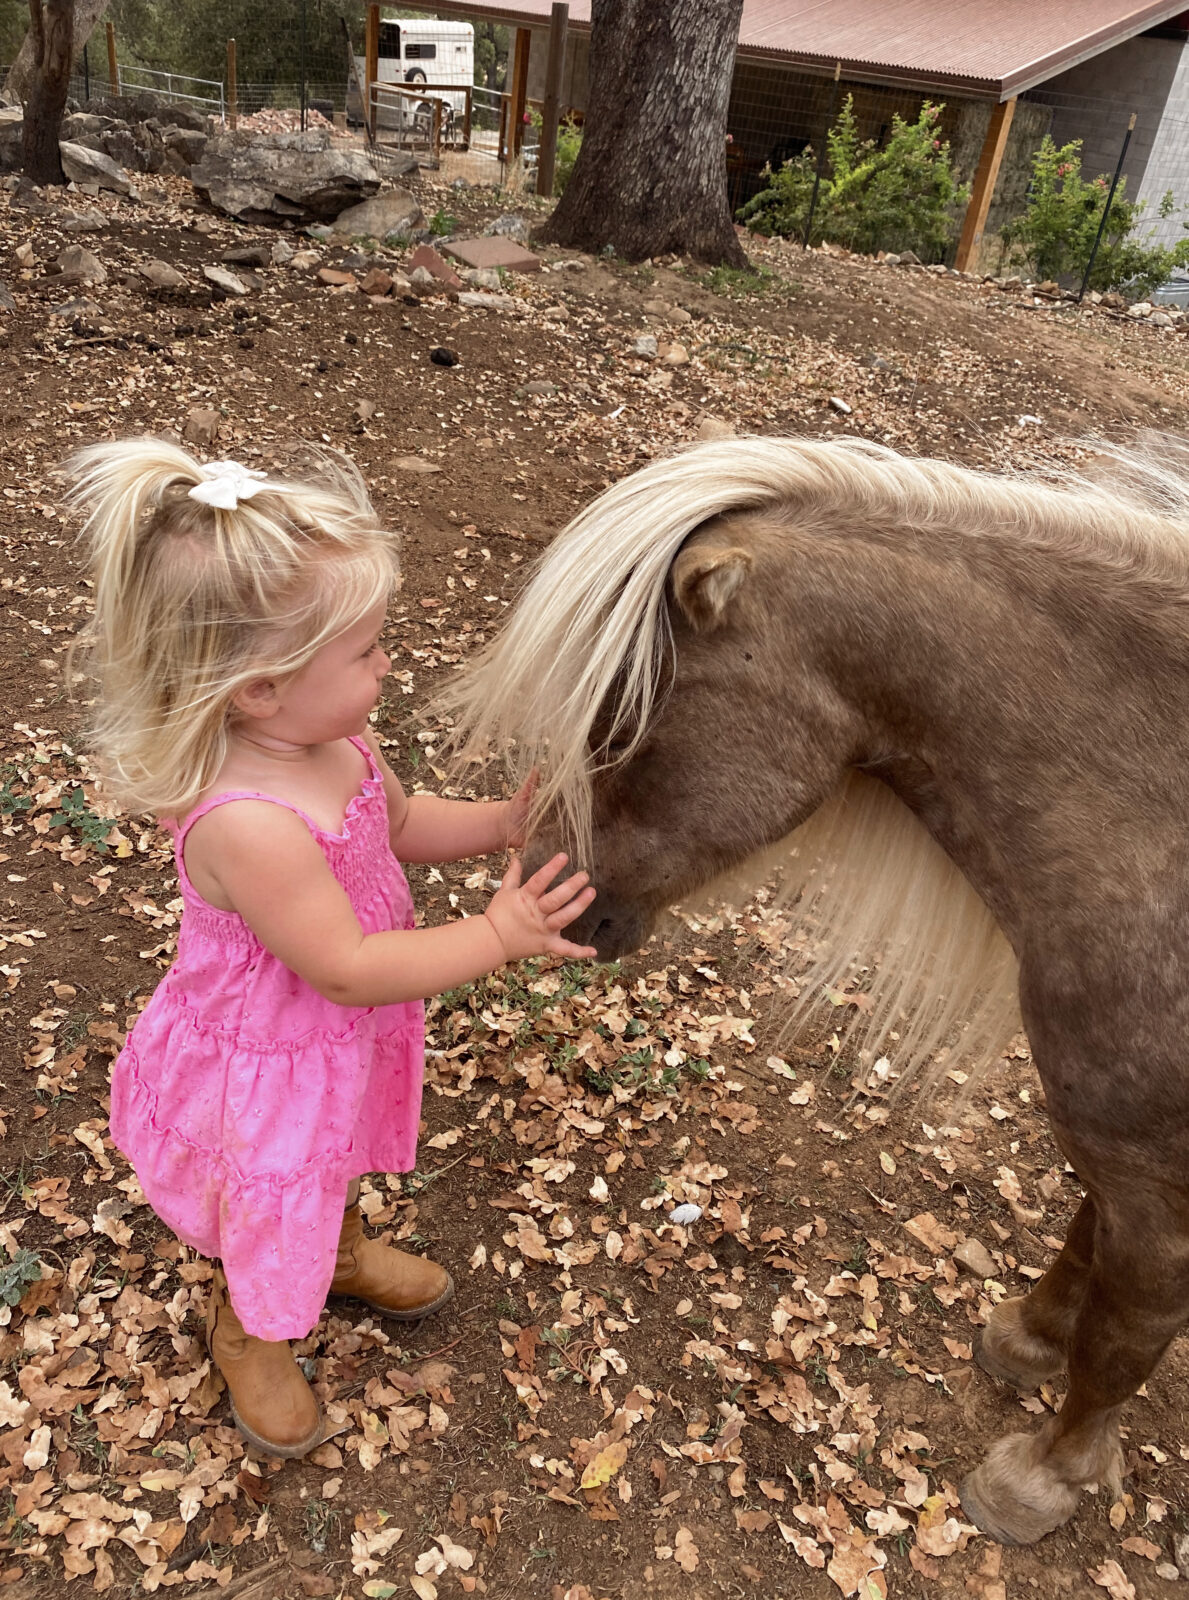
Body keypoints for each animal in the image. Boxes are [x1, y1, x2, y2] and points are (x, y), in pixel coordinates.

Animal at [436, 435, 1189, 1545]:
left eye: (622, 718)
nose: (545, 894)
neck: (1154, 832)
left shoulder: (1152, 1181)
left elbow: (1123, 1332)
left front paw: (1045, 1477)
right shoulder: (1124, 1153)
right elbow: (1082, 1240)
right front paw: (1027, 1336)